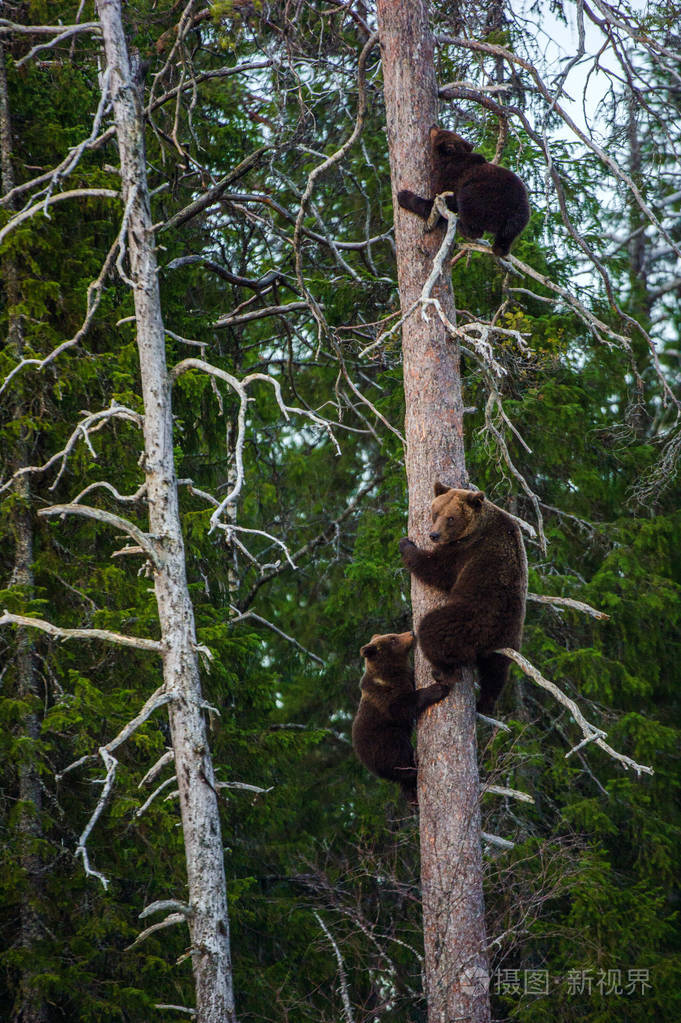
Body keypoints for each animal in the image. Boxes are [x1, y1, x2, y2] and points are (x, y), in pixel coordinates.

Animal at [351, 630, 450, 801]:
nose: (411, 632)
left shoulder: (406, 677)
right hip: (384, 741)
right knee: (398, 757)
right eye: (393, 639)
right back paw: (414, 764)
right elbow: (402, 708)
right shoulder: (384, 697)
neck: (391, 673)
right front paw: (439, 689)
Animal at [397, 126, 530, 256]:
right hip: (520, 218)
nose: (433, 126)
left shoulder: (451, 176)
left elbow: (439, 202)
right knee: (507, 236)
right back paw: (500, 248)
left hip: (486, 198)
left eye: (441, 132)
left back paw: (463, 226)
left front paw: (403, 196)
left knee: (469, 204)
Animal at [399, 483, 527, 714]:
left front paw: (406, 545)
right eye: (436, 512)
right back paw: (485, 703)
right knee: (495, 674)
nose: (434, 535)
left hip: (469, 619)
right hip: (508, 641)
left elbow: (436, 569)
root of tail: (490, 640)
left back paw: (444, 672)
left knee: (433, 631)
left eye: (451, 518)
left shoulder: (464, 551)